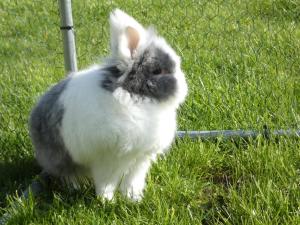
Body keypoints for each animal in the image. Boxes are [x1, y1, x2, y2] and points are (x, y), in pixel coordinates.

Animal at [28, 8, 188, 201]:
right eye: (157, 71)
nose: (184, 86)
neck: (134, 97)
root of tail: (35, 113)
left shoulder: (139, 160)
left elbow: (132, 181)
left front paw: (133, 199)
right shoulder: (107, 160)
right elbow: (106, 183)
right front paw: (106, 201)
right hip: (61, 156)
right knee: (67, 174)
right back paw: (74, 189)